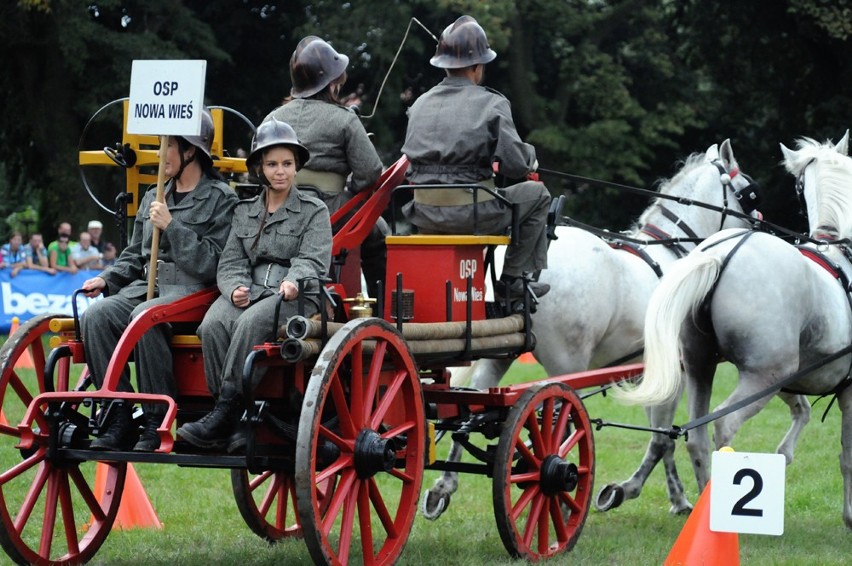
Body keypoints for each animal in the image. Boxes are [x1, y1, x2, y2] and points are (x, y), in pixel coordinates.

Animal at [422, 140, 804, 520]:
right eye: (750, 193)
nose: (764, 227)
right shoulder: (674, 374)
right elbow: (663, 437)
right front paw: (631, 491)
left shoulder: (651, 375)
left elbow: (662, 438)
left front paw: (674, 496)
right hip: (566, 363)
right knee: (559, 419)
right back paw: (558, 487)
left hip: (499, 354)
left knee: (469, 408)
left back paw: (444, 486)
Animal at [620, 134, 852, 532]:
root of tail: (717, 255)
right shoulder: (842, 387)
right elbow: (847, 454)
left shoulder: (795, 379)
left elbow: (803, 412)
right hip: (763, 377)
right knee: (724, 427)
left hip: (700, 367)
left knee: (696, 438)